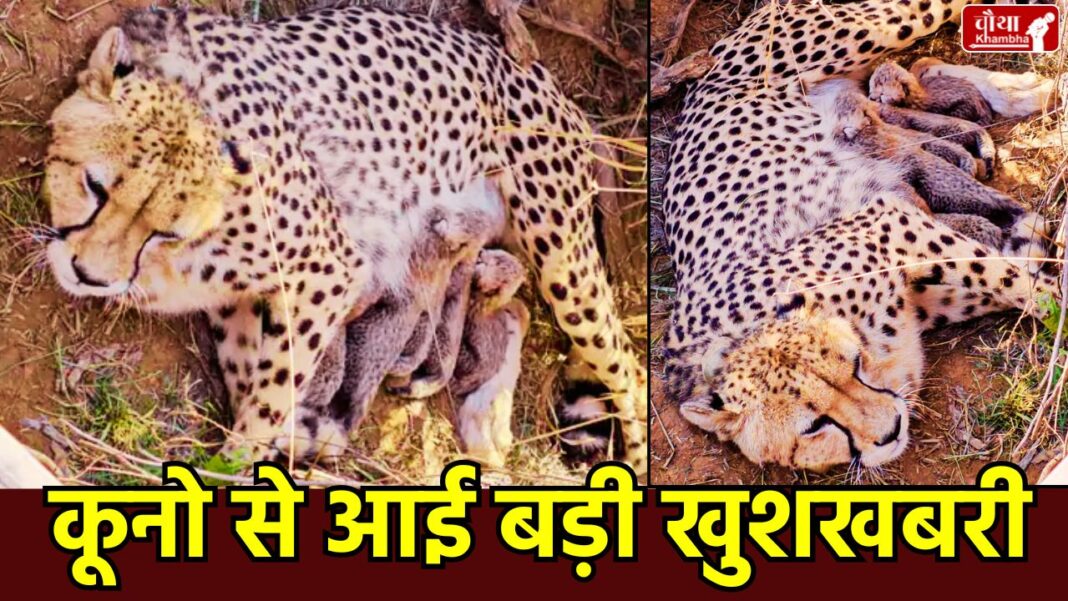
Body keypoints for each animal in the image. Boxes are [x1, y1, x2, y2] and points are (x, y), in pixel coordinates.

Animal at [43, 5, 648, 472]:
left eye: (164, 229)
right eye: (94, 186)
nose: (89, 275)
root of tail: (533, 71)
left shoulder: (329, 270)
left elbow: (270, 393)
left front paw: (234, 466)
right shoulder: (240, 300)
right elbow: (248, 374)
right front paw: (296, 435)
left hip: (562, 257)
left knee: (629, 367)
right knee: (513, 310)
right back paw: (486, 422)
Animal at [660, 0, 1058, 473]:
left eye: (851, 366)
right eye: (814, 426)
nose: (890, 430)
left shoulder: (891, 222)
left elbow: (1018, 281)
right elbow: (1010, 271)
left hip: (874, 26)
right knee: (921, 68)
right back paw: (1023, 95)